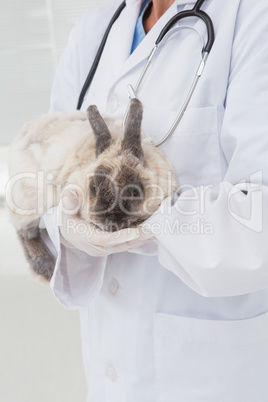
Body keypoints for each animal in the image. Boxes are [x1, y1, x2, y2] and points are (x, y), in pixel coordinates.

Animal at [6, 99, 178, 282]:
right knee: (25, 232)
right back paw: (46, 267)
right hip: (29, 203)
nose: (109, 222)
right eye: (94, 187)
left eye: (135, 192)